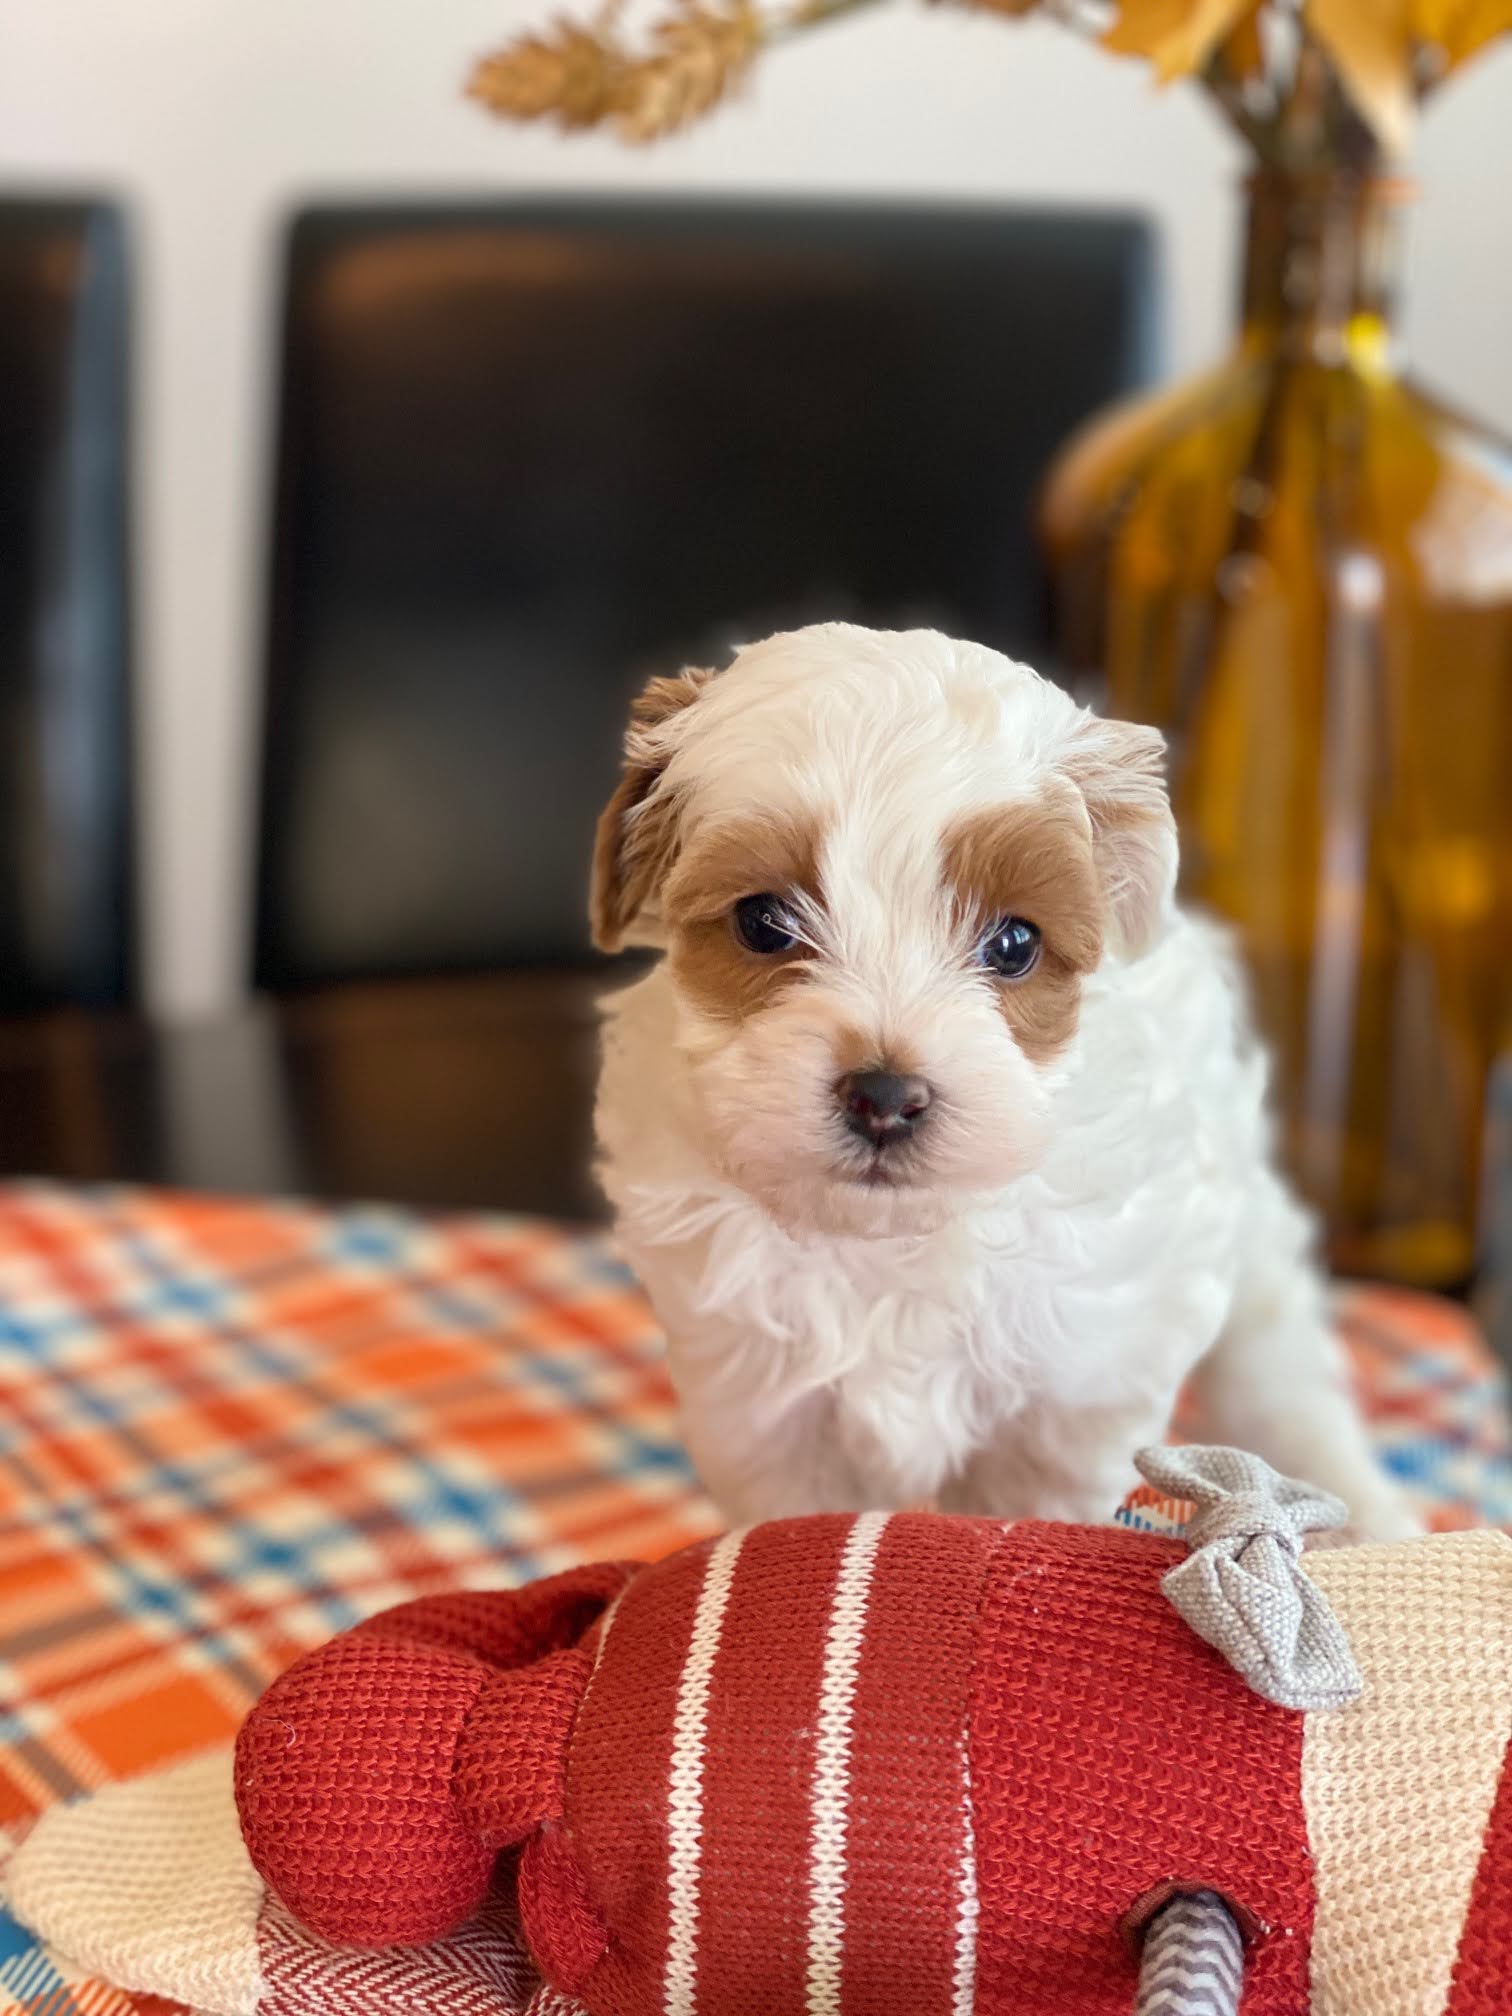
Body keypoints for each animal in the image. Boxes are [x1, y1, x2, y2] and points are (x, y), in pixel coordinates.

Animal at [592, 620, 1419, 1532]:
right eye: (763, 923)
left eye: (1015, 943)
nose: (885, 1097)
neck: (894, 1244)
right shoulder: (761, 1412)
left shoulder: (1072, 1398)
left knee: (1282, 1373)